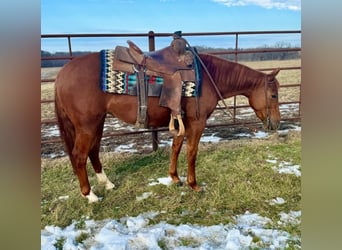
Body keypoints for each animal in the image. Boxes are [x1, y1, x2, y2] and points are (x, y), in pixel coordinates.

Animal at [54, 51, 280, 202]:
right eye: (274, 95)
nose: (276, 123)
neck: (208, 77)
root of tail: (63, 73)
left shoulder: (181, 121)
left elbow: (176, 147)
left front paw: (175, 178)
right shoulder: (197, 123)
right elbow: (191, 152)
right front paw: (194, 184)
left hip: (97, 123)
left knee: (93, 152)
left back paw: (107, 184)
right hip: (87, 126)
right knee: (80, 156)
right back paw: (90, 195)